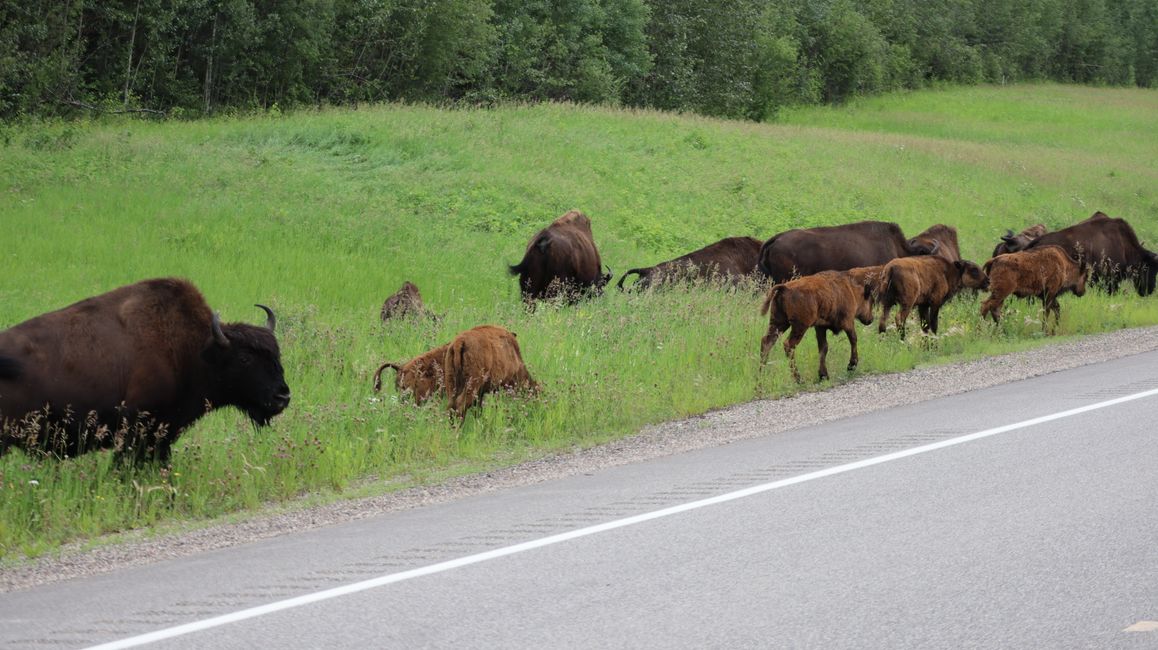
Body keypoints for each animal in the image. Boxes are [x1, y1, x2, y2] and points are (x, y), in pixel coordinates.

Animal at [0, 278, 291, 464]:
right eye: (244, 358)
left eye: (277, 356)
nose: (283, 396)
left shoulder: (161, 434)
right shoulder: (138, 431)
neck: (197, 350)